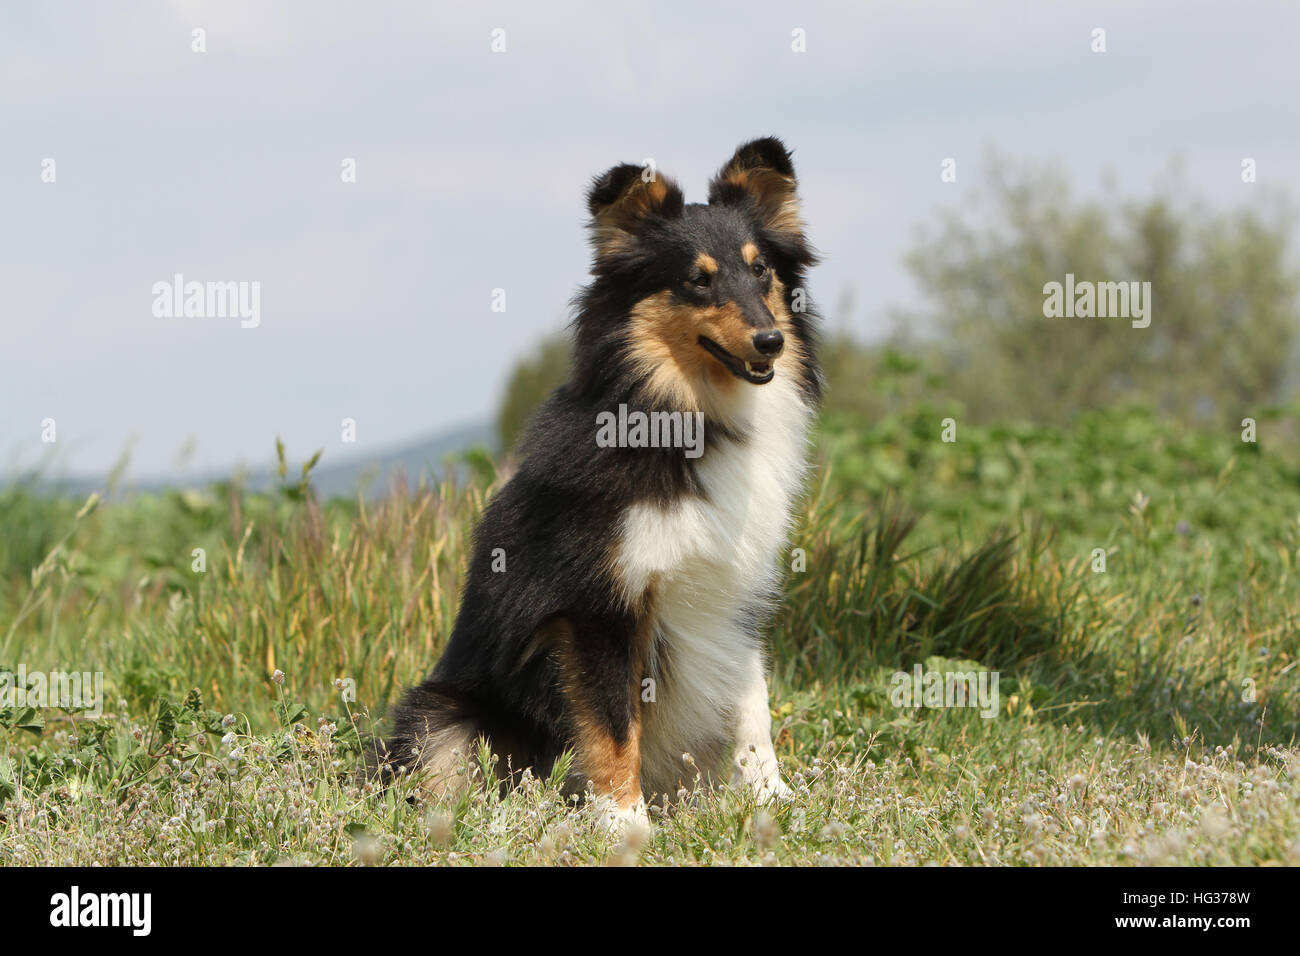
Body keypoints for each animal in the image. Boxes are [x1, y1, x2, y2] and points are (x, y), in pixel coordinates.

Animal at [379, 136, 821, 832]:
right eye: (697, 279)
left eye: (761, 272)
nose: (770, 341)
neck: (687, 416)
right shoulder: (598, 607)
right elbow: (614, 725)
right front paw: (625, 824)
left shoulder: (735, 590)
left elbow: (752, 701)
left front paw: (772, 800)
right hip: (443, 716)